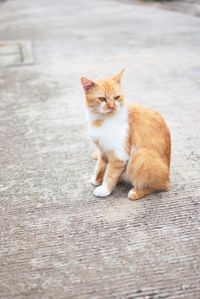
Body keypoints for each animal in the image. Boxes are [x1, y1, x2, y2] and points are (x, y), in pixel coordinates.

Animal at [80, 70, 171, 200]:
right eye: (102, 99)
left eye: (116, 97)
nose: (112, 106)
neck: (101, 120)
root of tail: (168, 179)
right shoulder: (103, 151)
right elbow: (100, 167)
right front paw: (96, 180)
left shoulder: (119, 156)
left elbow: (110, 175)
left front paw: (105, 189)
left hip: (141, 155)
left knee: (156, 186)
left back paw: (136, 192)